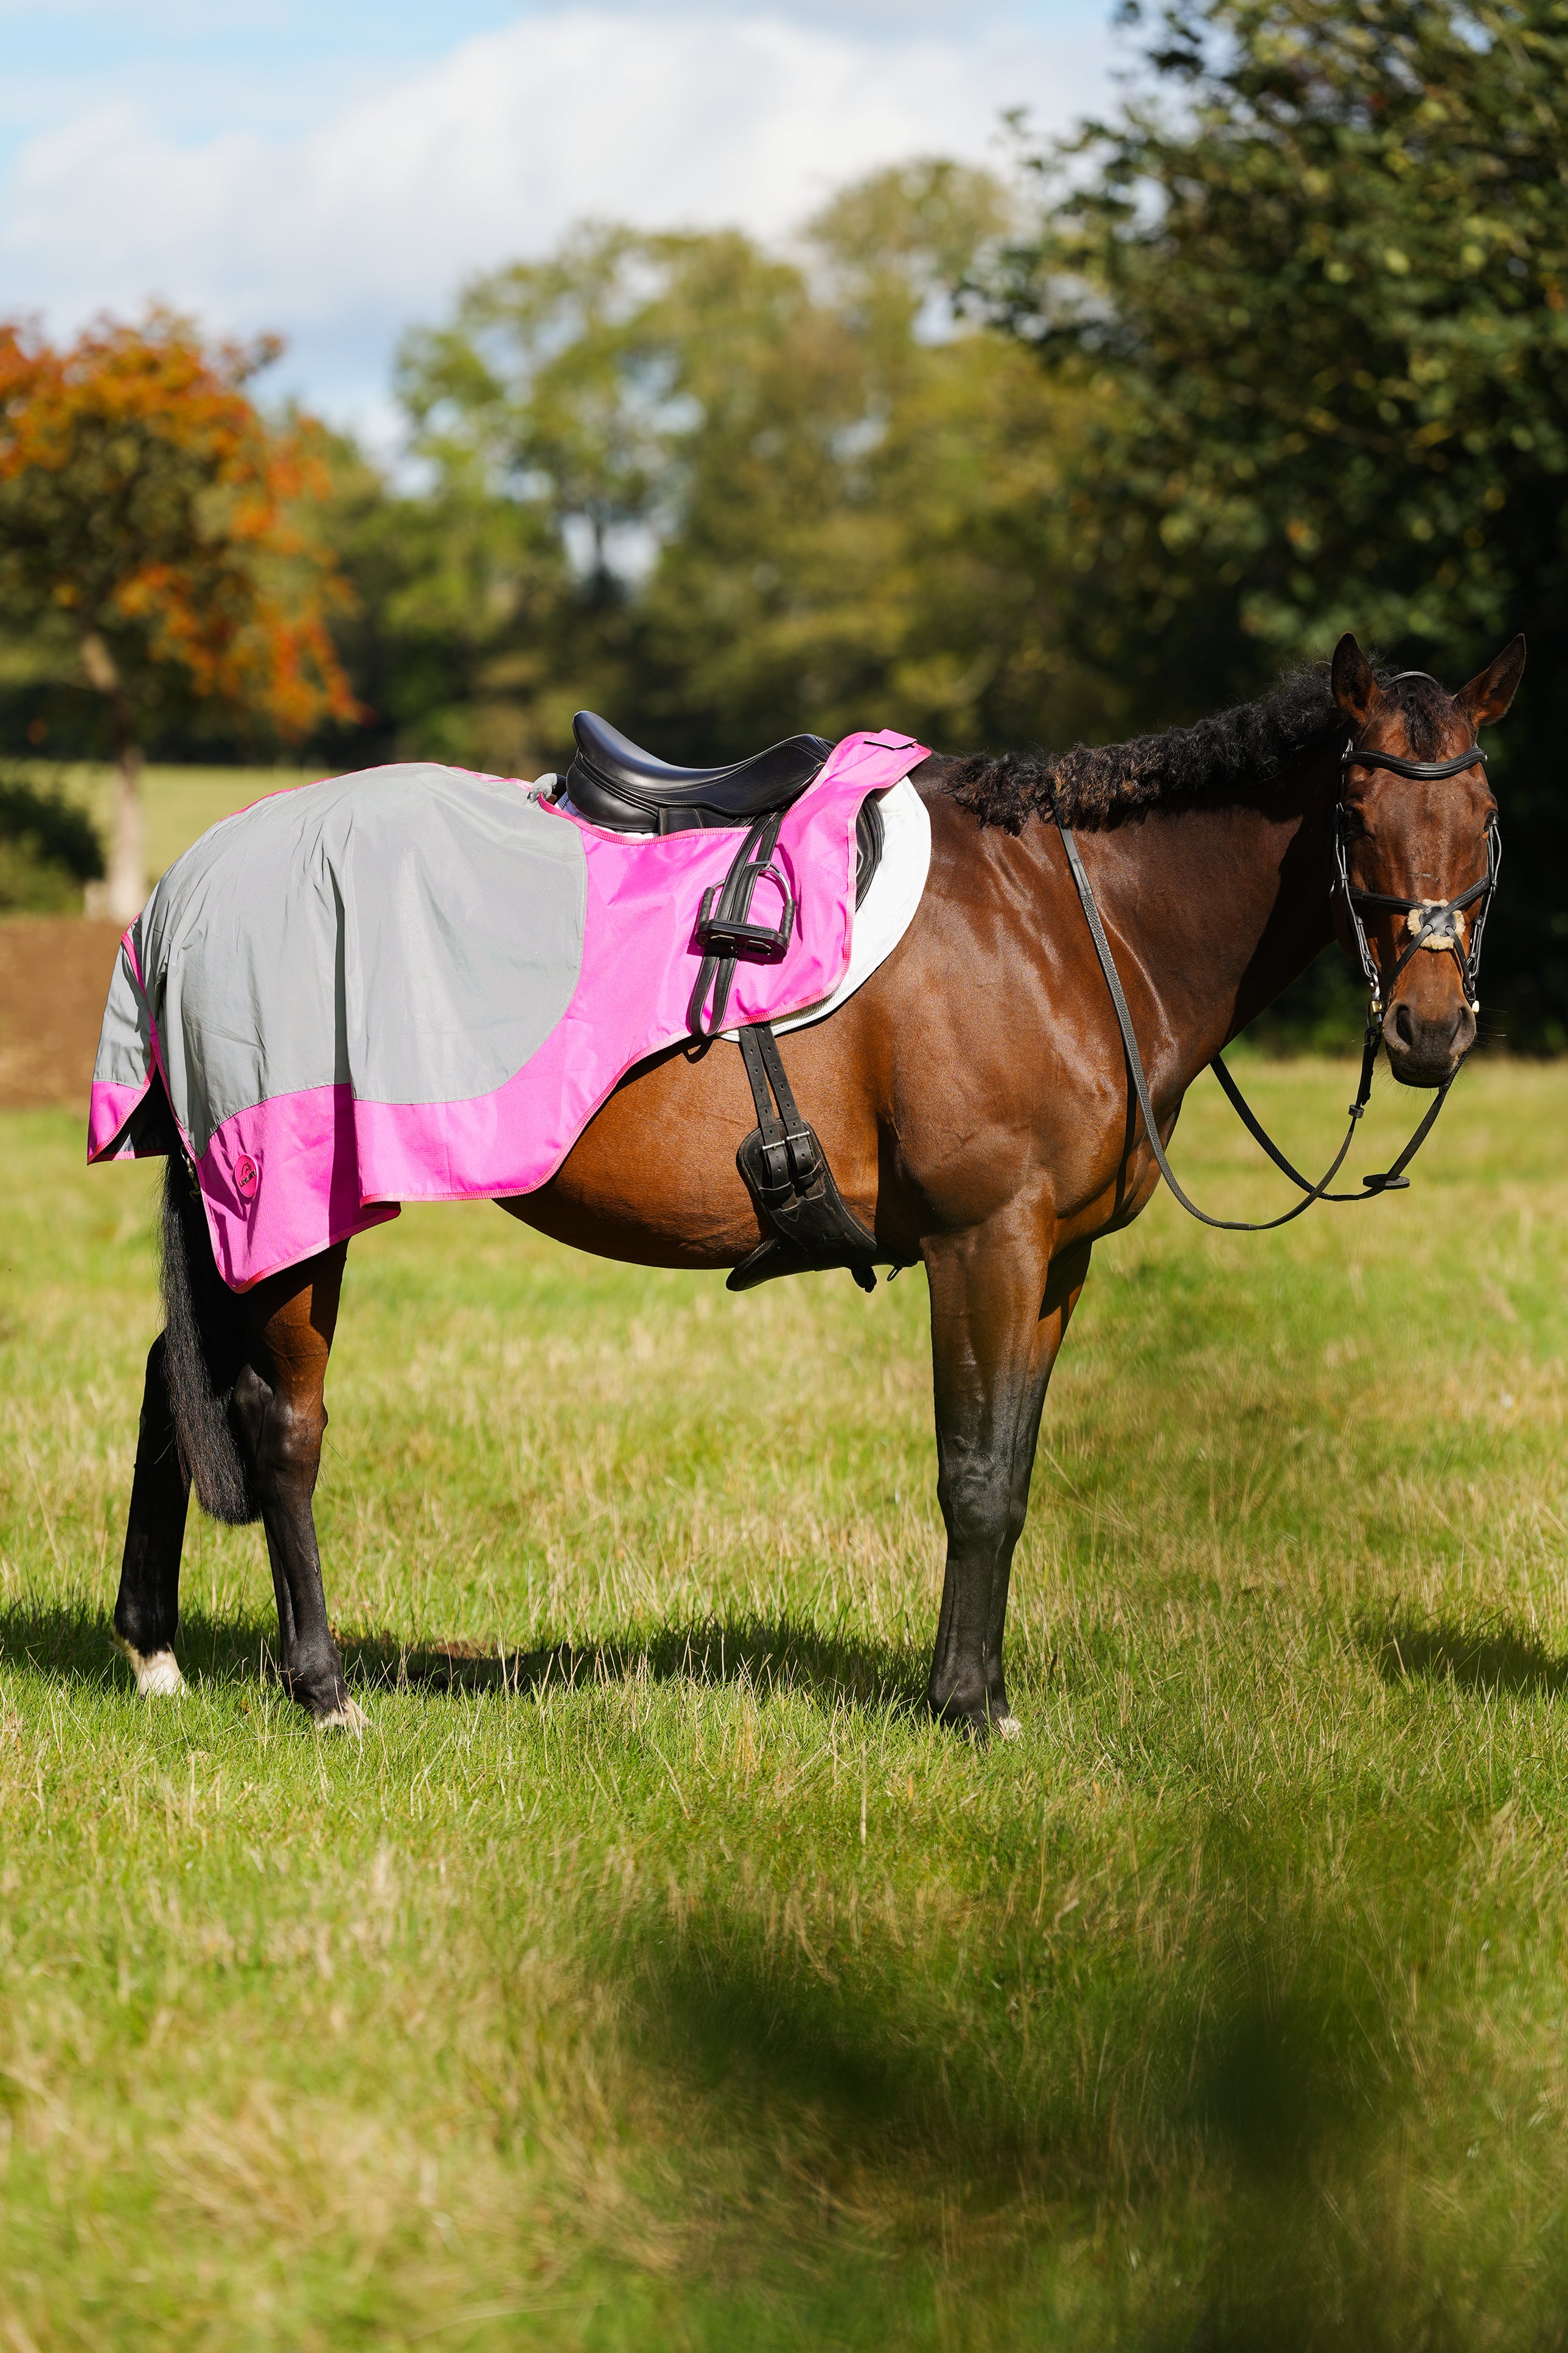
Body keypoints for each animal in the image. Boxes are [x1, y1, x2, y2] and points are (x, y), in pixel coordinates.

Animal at [107, 629, 1524, 1735]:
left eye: (1485, 823)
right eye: (1355, 816)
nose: (1429, 1031)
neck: (1069, 927)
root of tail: (192, 883)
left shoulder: (1054, 1258)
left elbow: (1013, 1468)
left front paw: (977, 1687)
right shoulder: (983, 1243)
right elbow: (975, 1476)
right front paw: (967, 1706)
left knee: (174, 1381)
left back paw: (154, 1647)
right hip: (298, 1212)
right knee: (282, 1428)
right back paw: (322, 1685)